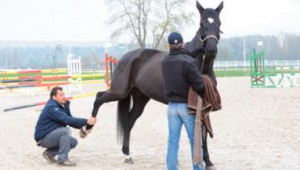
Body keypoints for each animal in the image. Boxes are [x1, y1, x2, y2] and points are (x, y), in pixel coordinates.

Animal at [81, 0, 223, 169]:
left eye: (219, 23)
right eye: (201, 24)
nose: (211, 49)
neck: (200, 67)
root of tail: (126, 57)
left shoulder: (204, 104)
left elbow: (204, 132)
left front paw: (208, 161)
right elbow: (200, 133)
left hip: (140, 99)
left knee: (129, 121)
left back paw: (127, 153)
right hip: (119, 91)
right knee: (99, 97)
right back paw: (86, 128)